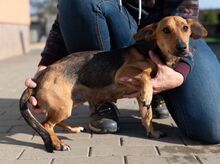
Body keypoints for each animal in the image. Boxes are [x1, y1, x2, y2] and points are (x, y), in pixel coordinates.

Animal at [19, 16, 207, 152]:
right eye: (166, 30)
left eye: (185, 28)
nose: (183, 47)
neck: (153, 53)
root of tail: (39, 78)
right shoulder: (123, 73)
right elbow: (145, 75)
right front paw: (148, 92)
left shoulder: (140, 99)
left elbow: (147, 116)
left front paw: (152, 132)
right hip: (63, 106)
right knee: (46, 125)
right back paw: (58, 143)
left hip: (68, 104)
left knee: (52, 122)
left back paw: (72, 129)